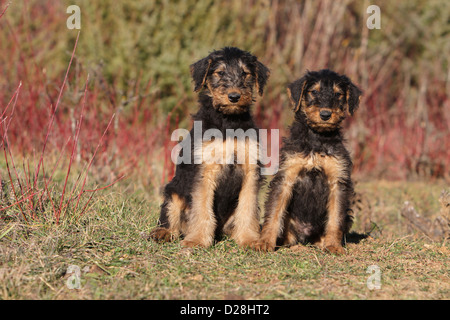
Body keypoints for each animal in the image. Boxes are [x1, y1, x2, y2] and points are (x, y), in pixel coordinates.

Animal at [149, 46, 268, 249]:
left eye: (245, 73)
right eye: (219, 73)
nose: (234, 96)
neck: (229, 122)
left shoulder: (250, 169)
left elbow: (248, 208)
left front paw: (250, 239)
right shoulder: (204, 170)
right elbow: (202, 208)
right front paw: (197, 240)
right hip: (174, 192)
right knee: (170, 217)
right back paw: (162, 233)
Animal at [256, 69, 362, 255]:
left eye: (338, 94)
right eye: (314, 91)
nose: (325, 115)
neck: (317, 138)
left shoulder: (338, 182)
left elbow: (335, 218)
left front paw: (333, 246)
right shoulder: (286, 177)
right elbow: (274, 213)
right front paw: (265, 242)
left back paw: (324, 242)